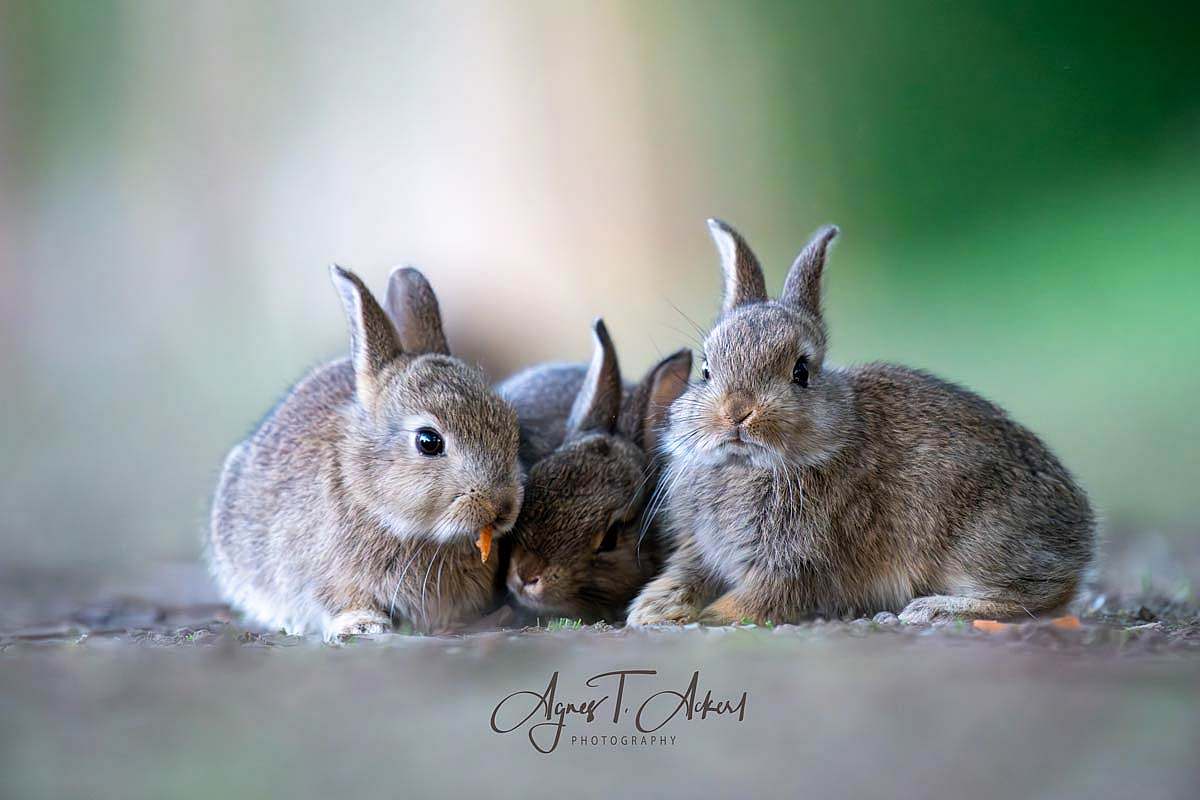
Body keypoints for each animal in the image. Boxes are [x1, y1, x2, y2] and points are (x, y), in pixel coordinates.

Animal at [627, 219, 1095, 626]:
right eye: (706, 369)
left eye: (801, 371)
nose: (737, 411)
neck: (747, 466)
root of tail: (1081, 535)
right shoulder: (702, 549)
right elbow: (687, 574)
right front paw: (651, 611)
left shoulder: (799, 558)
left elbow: (768, 596)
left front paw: (711, 617)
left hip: (977, 541)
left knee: (1040, 594)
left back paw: (932, 610)